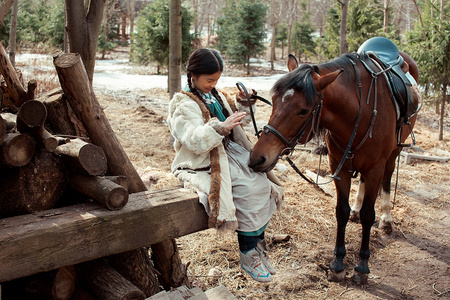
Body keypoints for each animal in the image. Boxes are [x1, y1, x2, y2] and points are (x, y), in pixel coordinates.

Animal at [248, 44, 420, 282]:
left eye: (303, 110)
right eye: (273, 101)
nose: (258, 157)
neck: (361, 111)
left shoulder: (375, 167)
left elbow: (369, 214)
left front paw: (362, 265)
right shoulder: (339, 166)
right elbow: (342, 211)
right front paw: (338, 262)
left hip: (394, 152)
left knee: (387, 179)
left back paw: (386, 219)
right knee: (362, 185)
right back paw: (357, 208)